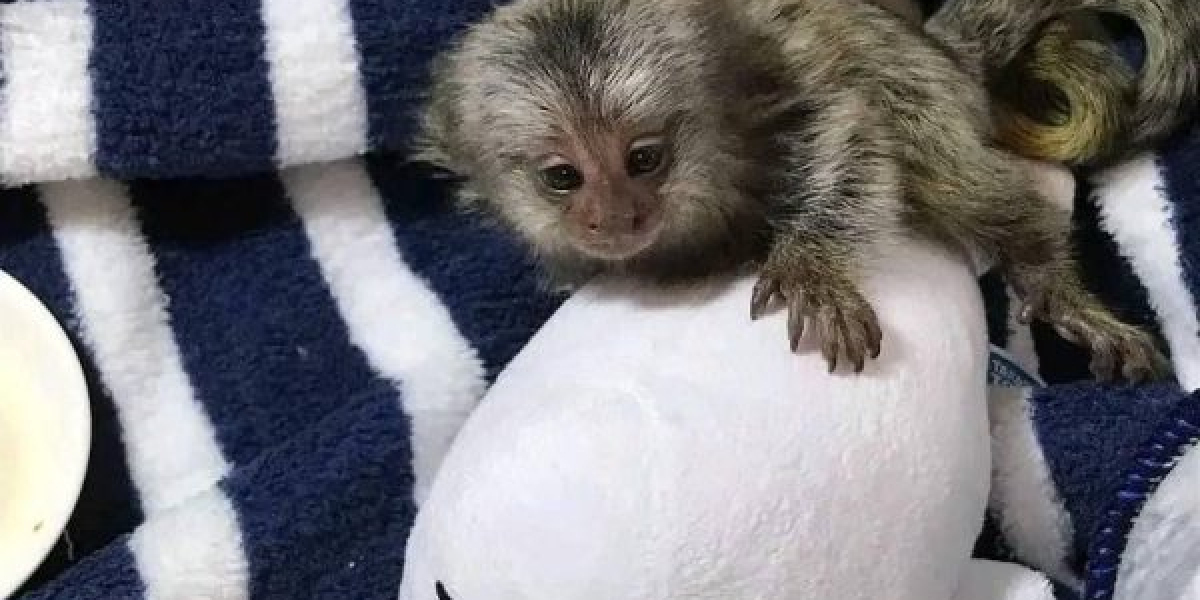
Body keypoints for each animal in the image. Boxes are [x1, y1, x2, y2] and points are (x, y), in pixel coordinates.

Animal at [413, 0, 1167, 380]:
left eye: (643, 159)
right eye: (563, 177)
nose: (617, 216)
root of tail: (943, 49)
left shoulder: (776, 80)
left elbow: (849, 122)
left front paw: (812, 269)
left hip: (929, 88)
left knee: (941, 158)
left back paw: (1054, 283)